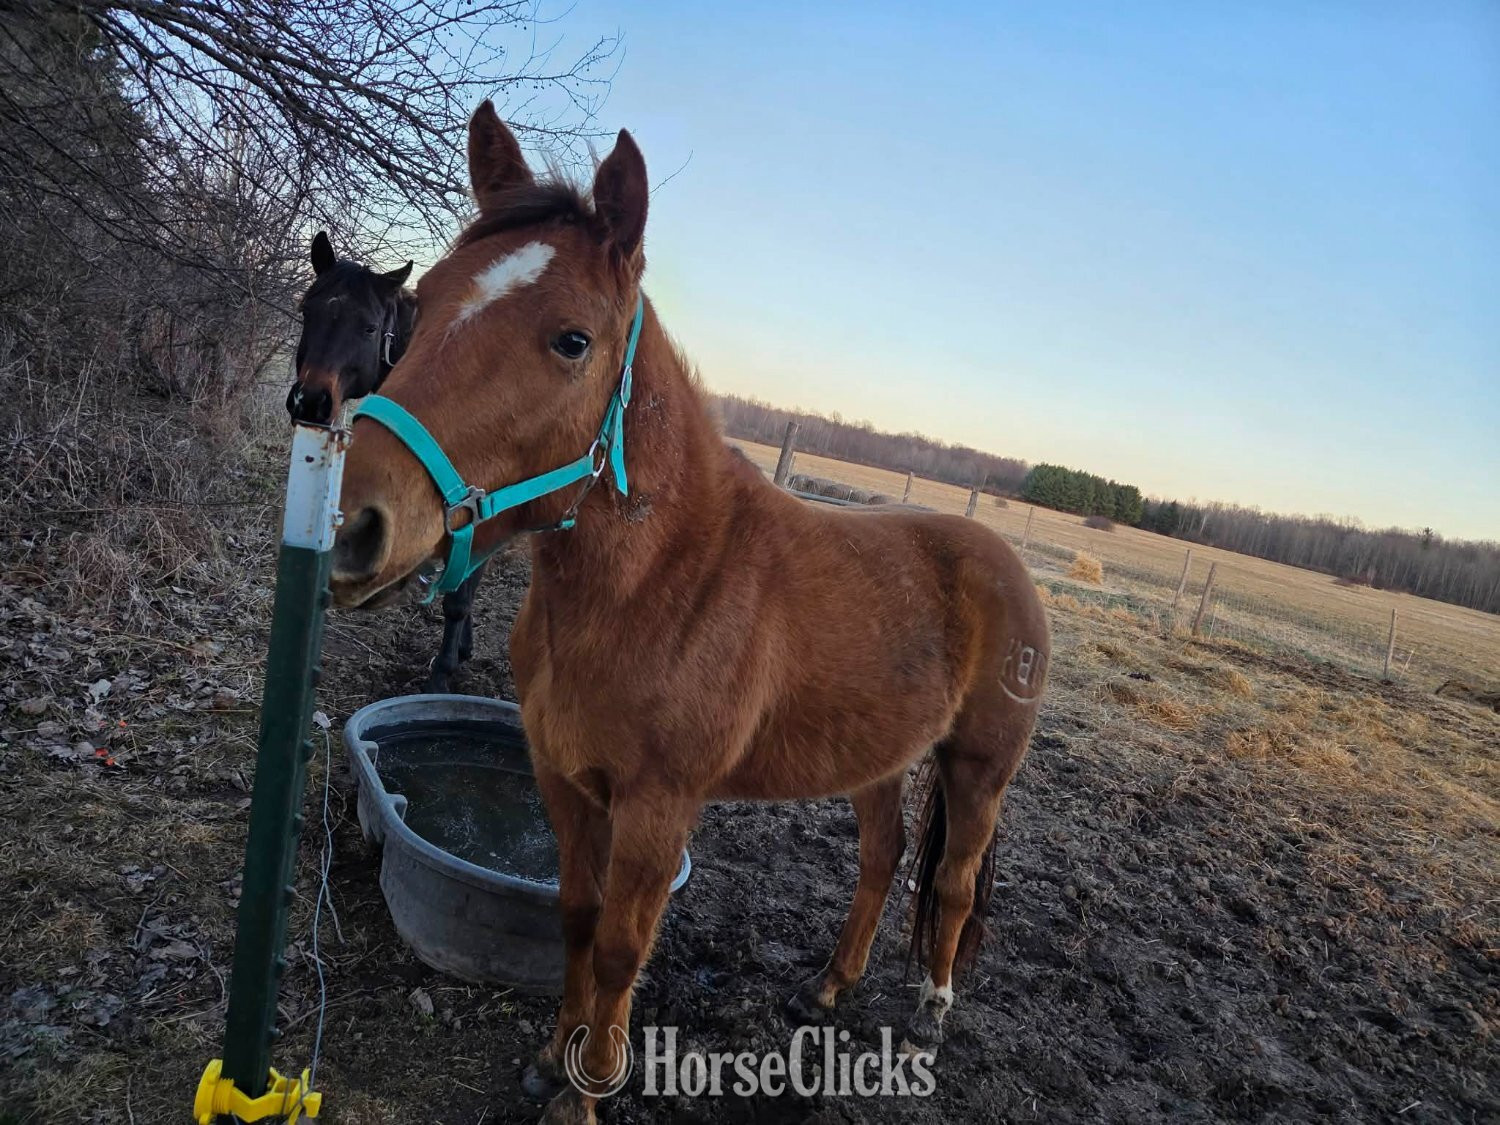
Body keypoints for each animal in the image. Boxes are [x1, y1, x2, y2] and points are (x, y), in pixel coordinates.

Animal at [329, 102, 1050, 1124]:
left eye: (573, 339)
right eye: (422, 303)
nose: (356, 524)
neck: (658, 584)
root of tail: (1009, 565)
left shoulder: (659, 807)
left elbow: (622, 947)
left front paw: (585, 1093)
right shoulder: (563, 778)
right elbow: (575, 919)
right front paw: (551, 1059)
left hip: (979, 768)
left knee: (948, 883)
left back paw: (929, 1015)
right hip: (878, 761)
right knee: (882, 857)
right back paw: (827, 987)